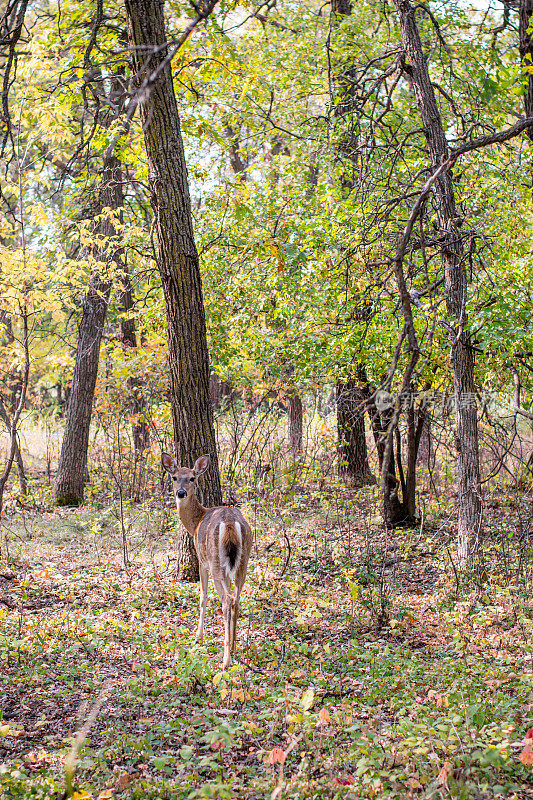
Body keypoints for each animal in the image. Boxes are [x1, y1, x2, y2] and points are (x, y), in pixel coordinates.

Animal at [161, 450, 252, 668]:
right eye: (174, 477)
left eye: (192, 478)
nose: (181, 493)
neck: (196, 522)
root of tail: (230, 523)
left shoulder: (202, 560)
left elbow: (203, 596)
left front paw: (198, 635)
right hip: (243, 560)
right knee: (236, 599)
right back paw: (233, 648)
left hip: (214, 560)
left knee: (226, 601)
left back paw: (225, 660)